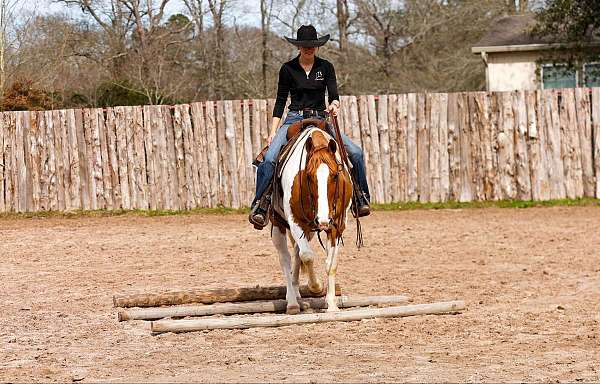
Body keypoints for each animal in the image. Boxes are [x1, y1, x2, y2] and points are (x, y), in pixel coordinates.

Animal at [270, 123, 354, 316]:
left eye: (335, 175)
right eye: (308, 175)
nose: (322, 221)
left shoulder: (337, 224)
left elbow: (331, 263)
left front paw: (331, 304)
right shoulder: (294, 221)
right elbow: (308, 256)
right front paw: (316, 287)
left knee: (295, 254)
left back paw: (296, 293)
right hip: (278, 225)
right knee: (285, 258)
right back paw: (292, 302)